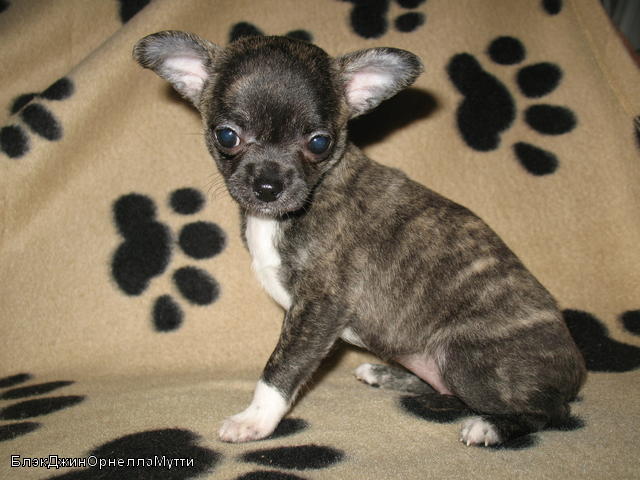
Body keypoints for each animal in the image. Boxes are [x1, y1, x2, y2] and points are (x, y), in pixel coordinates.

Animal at [133, 31, 586, 446]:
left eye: (319, 142)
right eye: (227, 136)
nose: (268, 186)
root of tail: (576, 371)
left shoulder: (320, 306)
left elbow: (282, 367)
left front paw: (255, 420)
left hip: (468, 359)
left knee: (545, 411)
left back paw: (490, 425)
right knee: (447, 387)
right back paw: (389, 375)